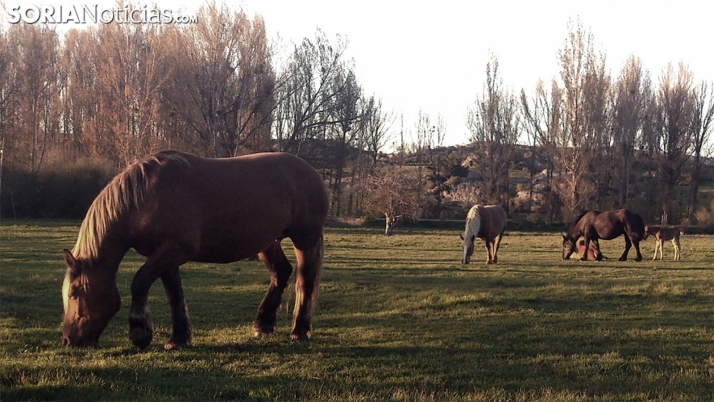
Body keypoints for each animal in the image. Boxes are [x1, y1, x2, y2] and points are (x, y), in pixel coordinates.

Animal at [62, 150, 328, 350]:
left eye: (74, 293)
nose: (68, 340)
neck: (146, 197)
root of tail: (312, 172)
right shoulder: (164, 256)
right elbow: (174, 295)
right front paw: (178, 339)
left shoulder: (174, 251)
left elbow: (139, 283)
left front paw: (140, 334)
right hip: (267, 242)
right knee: (281, 273)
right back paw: (263, 324)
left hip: (305, 240)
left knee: (305, 280)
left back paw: (299, 331)